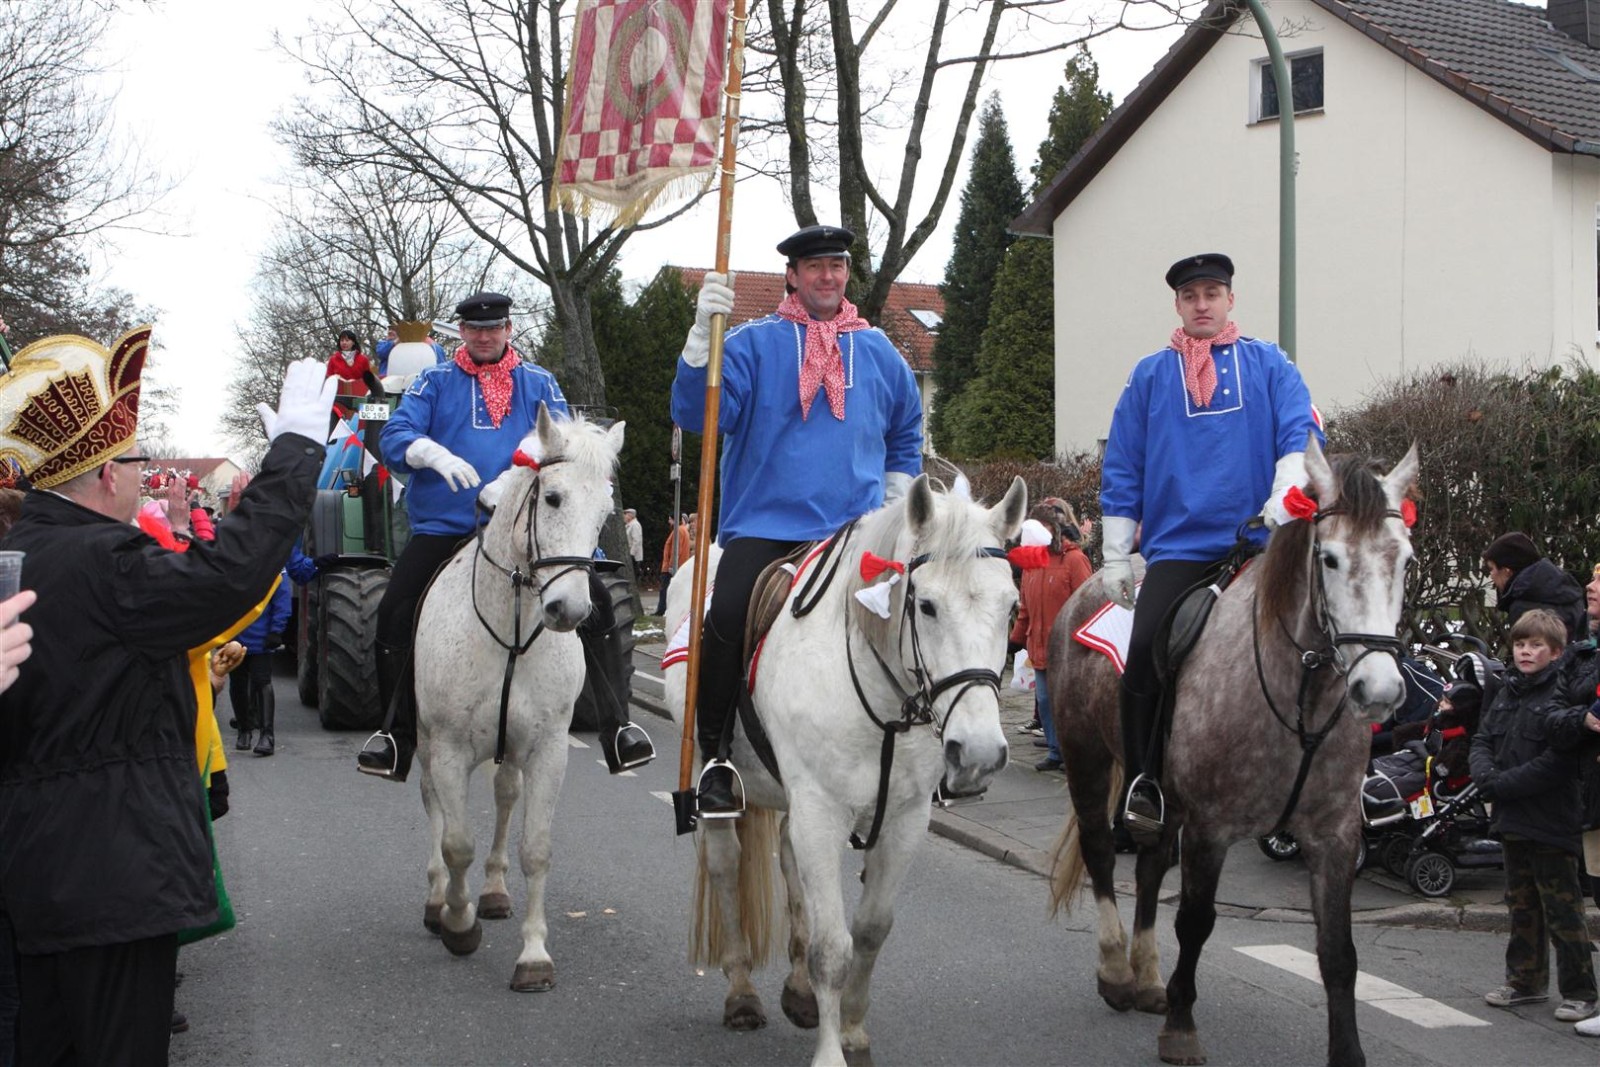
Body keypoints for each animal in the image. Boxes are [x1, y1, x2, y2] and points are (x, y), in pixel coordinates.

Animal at [412, 405, 625, 992]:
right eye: (551, 498)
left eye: (605, 512)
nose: (569, 610)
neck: (509, 629)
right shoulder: (448, 749)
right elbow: (456, 842)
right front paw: (459, 924)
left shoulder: (548, 749)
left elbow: (536, 849)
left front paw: (533, 955)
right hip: (425, 742)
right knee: (433, 808)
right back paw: (439, 902)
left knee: (506, 797)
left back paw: (492, 892)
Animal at [664, 473, 1026, 1067]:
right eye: (927, 606)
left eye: (1012, 607)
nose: (977, 752)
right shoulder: (821, 810)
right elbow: (833, 948)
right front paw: (832, 1052)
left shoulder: (905, 818)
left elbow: (871, 930)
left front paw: (852, 1030)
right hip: (715, 776)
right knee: (725, 863)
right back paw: (742, 993)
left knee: (787, 856)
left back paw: (799, 992)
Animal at [1047, 437, 1417, 1067]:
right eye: (1330, 559)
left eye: (1407, 559)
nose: (1381, 690)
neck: (1299, 696)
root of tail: (1084, 590)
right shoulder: (1210, 829)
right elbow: (1196, 922)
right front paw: (1181, 1028)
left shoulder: (1335, 834)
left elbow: (1338, 952)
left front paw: (1347, 1052)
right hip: (1087, 757)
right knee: (1101, 853)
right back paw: (1118, 973)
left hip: (1161, 798)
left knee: (1149, 867)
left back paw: (1148, 979)